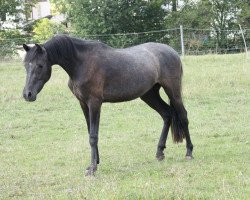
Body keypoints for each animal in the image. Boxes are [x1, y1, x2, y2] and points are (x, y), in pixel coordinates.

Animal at [22, 35, 193, 176]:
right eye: (25, 65)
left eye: (40, 65)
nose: (27, 94)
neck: (82, 63)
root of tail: (172, 52)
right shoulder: (83, 104)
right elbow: (90, 132)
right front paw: (95, 162)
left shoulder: (94, 103)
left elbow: (93, 136)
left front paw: (92, 169)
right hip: (149, 95)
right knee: (167, 114)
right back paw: (159, 153)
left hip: (173, 91)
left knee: (183, 116)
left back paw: (189, 152)